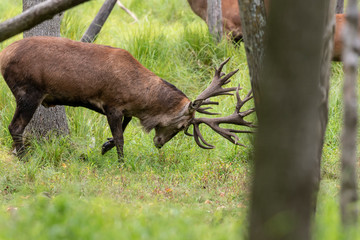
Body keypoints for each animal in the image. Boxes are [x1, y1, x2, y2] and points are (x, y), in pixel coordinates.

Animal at [0, 37, 255, 161]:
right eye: (182, 126)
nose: (159, 143)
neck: (138, 98)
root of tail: (3, 54)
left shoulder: (125, 110)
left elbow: (120, 131)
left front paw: (105, 147)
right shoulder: (111, 104)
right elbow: (121, 137)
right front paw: (121, 163)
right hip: (29, 91)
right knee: (15, 126)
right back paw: (22, 156)